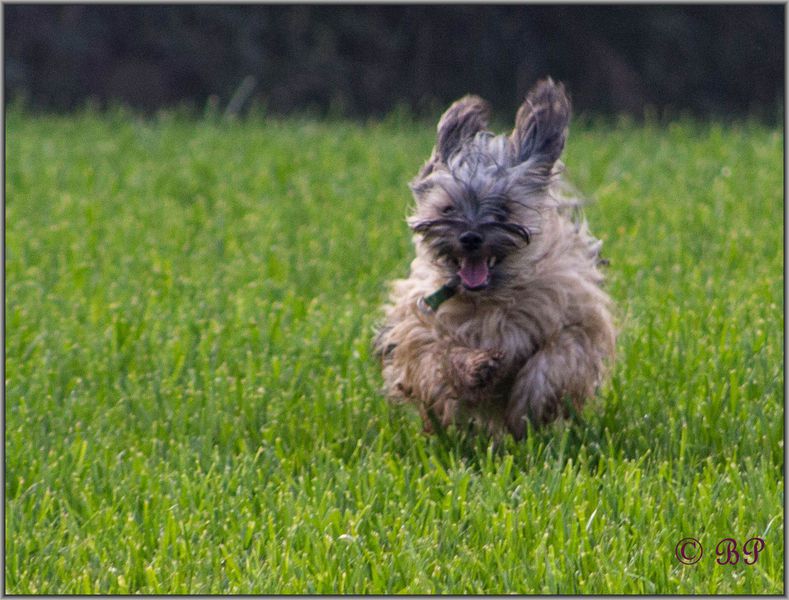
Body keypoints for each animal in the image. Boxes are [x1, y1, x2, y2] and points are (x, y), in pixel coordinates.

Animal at [374, 78, 616, 439]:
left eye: (503, 210)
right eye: (448, 209)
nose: (471, 237)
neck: (489, 300)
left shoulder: (577, 321)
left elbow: (554, 357)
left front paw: (528, 406)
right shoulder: (419, 325)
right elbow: (435, 355)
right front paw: (474, 367)